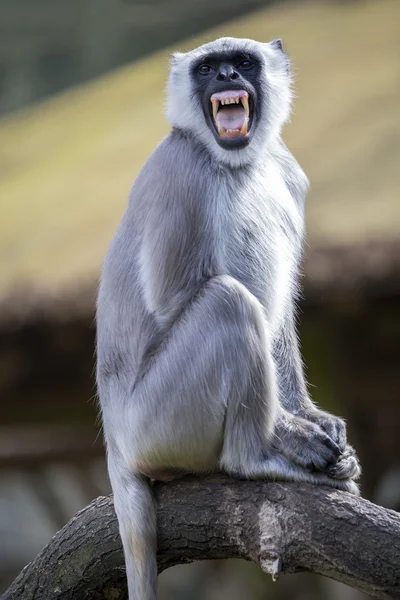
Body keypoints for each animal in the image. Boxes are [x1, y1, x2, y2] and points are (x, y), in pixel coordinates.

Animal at [96, 36, 360, 600]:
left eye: (241, 63)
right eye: (207, 68)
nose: (224, 76)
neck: (236, 163)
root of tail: (115, 437)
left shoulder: (286, 168)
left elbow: (282, 315)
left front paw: (312, 416)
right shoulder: (178, 168)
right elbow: (174, 300)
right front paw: (292, 430)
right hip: (158, 424)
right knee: (228, 302)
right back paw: (258, 453)